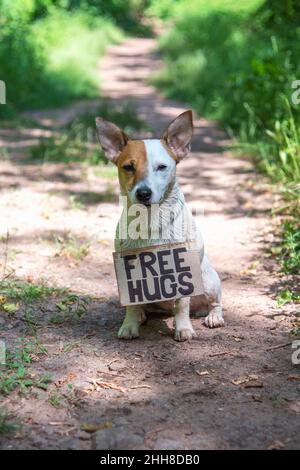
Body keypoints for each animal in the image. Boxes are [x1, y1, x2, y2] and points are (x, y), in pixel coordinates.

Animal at [95, 110, 224, 342]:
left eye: (162, 167)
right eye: (128, 167)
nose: (143, 193)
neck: (149, 219)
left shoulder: (182, 265)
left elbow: (181, 303)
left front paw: (183, 328)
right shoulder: (126, 269)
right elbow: (131, 304)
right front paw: (129, 324)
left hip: (209, 282)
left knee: (214, 303)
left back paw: (213, 316)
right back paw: (142, 315)